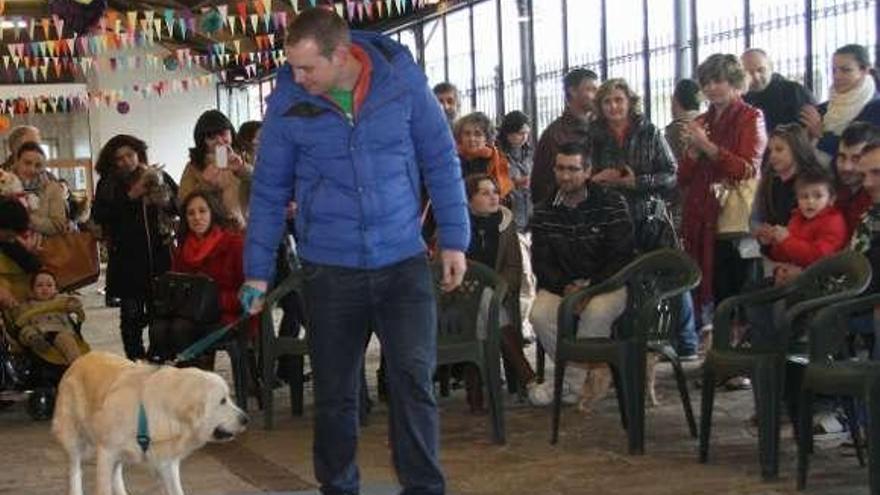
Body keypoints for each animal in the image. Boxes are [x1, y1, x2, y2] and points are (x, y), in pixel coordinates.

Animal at [51, 352, 248, 495]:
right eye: (222, 401)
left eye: (228, 397)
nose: (246, 419)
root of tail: (81, 358)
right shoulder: (106, 452)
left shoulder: (167, 462)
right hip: (74, 440)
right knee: (75, 469)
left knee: (116, 472)